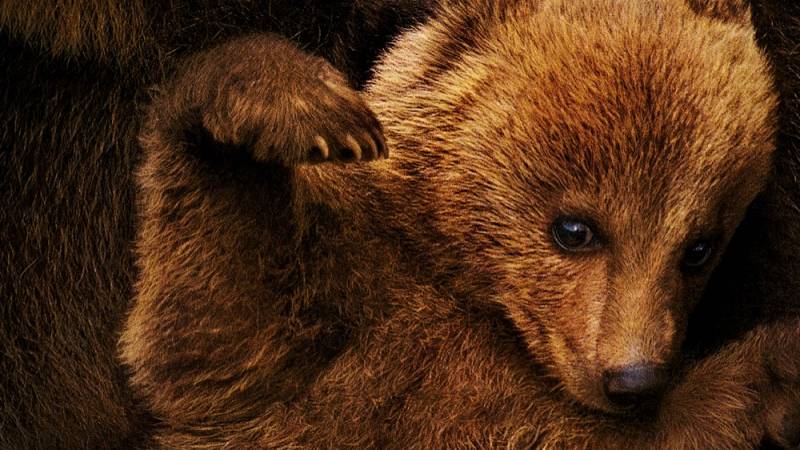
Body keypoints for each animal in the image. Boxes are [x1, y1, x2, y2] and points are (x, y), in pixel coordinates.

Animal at [121, 0, 800, 448]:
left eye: (699, 248)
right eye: (574, 228)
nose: (633, 379)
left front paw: (774, 376)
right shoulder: (334, 315)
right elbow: (215, 318)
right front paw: (304, 106)